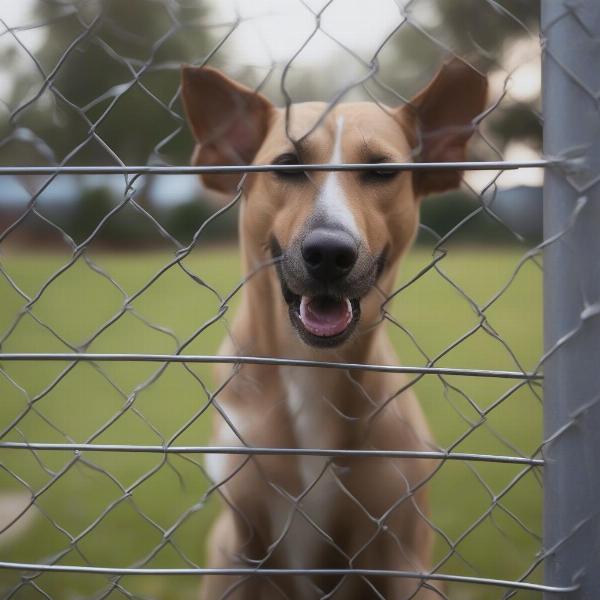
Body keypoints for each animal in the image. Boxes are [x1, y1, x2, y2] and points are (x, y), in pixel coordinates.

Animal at [182, 59, 488, 600]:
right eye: (286, 165)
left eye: (382, 169)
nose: (329, 252)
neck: (311, 368)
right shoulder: (239, 549)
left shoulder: (400, 558)